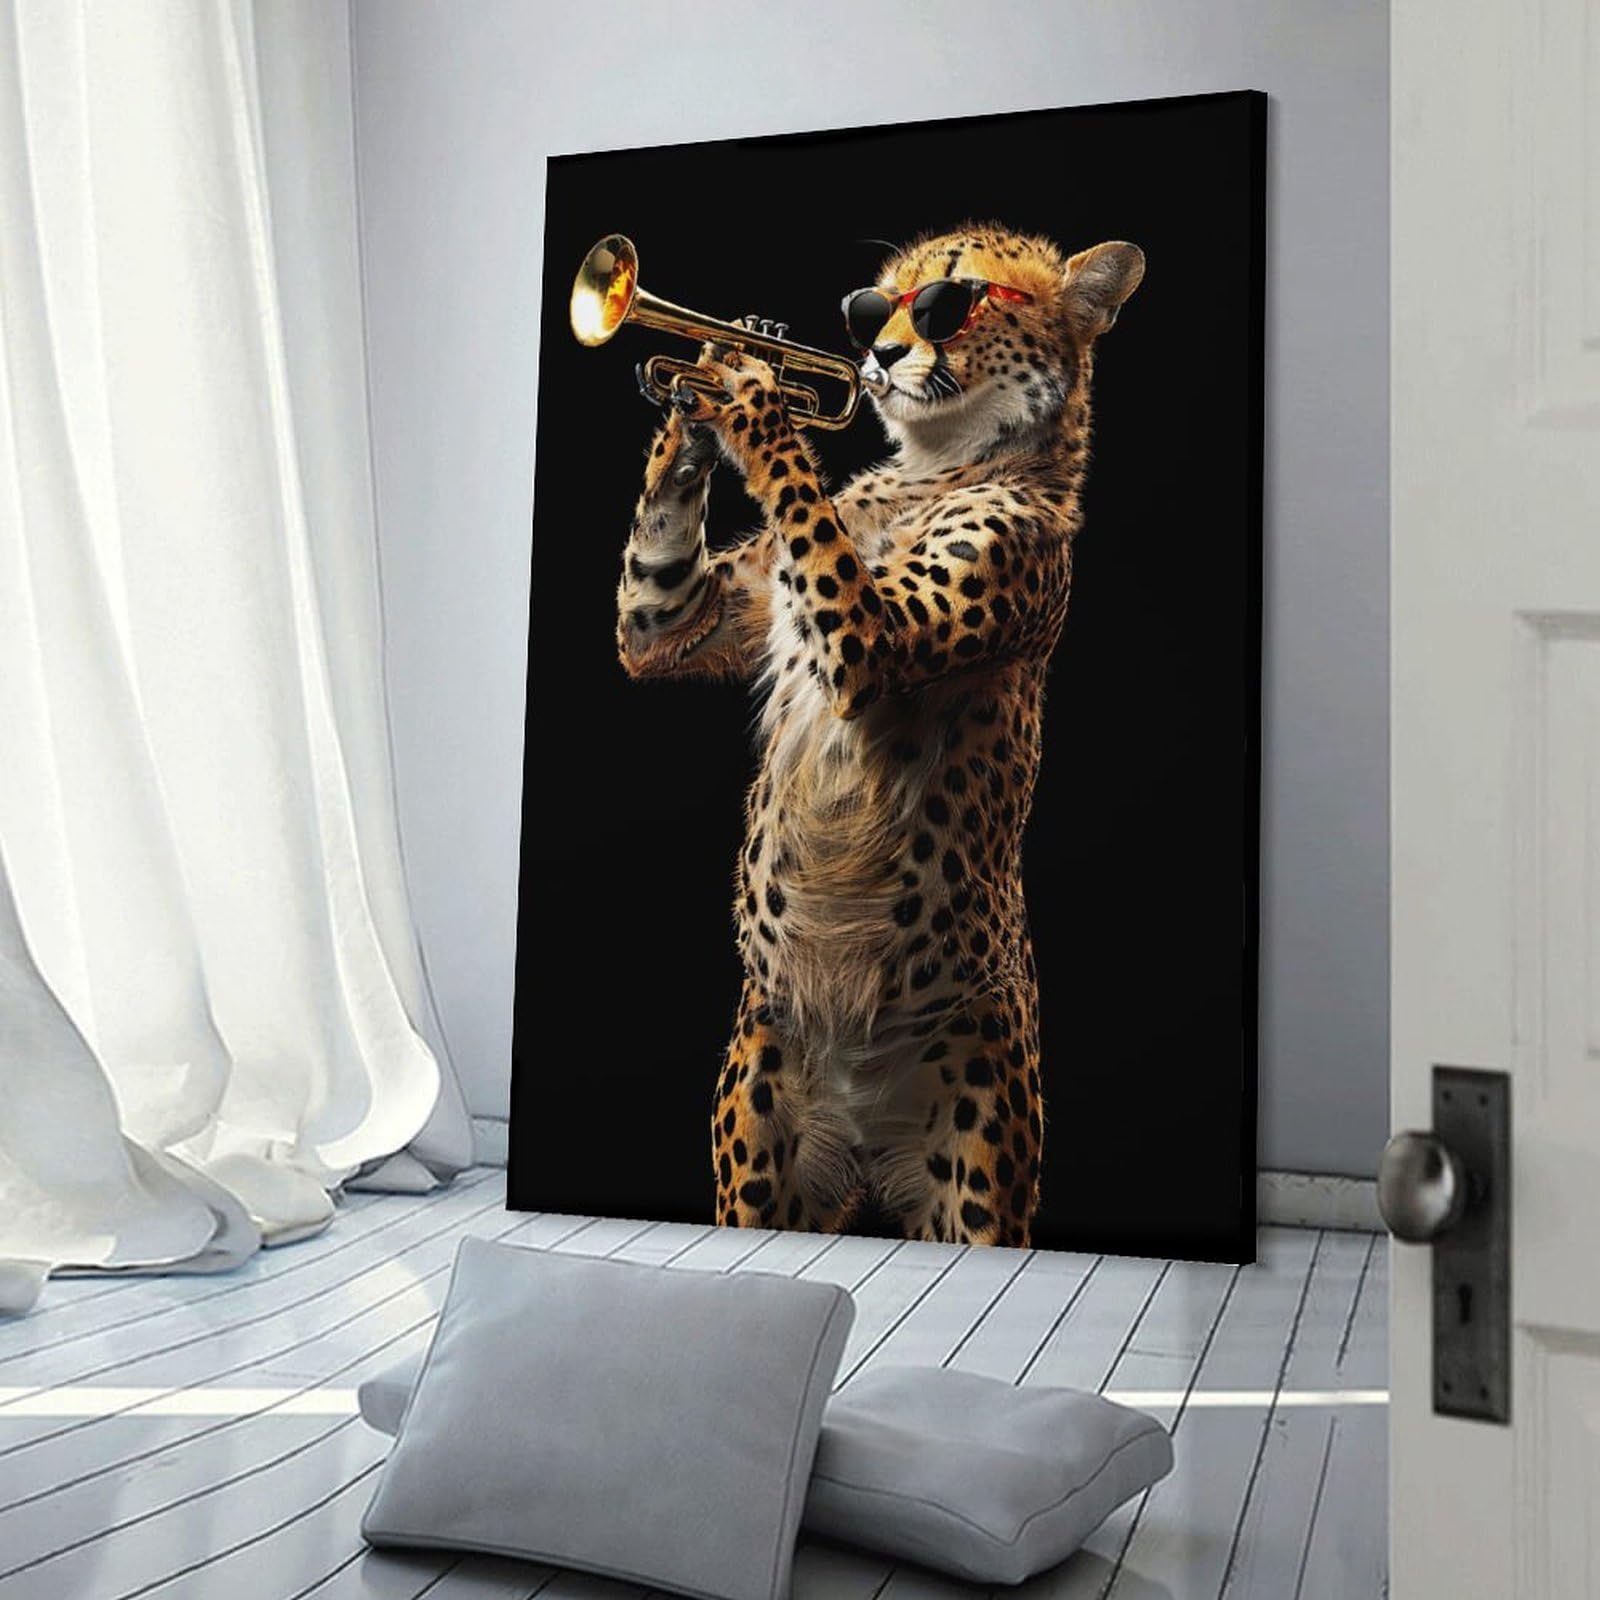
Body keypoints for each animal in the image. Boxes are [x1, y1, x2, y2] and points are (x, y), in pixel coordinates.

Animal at [613, 223, 1143, 1246]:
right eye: (872, 306)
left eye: (951, 304)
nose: (879, 356)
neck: (936, 468)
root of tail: (861, 1139)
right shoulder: (683, 621)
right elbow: (653, 609)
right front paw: (701, 379)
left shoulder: (875, 645)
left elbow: (806, 509)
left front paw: (752, 384)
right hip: (759, 1163)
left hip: (978, 1185)